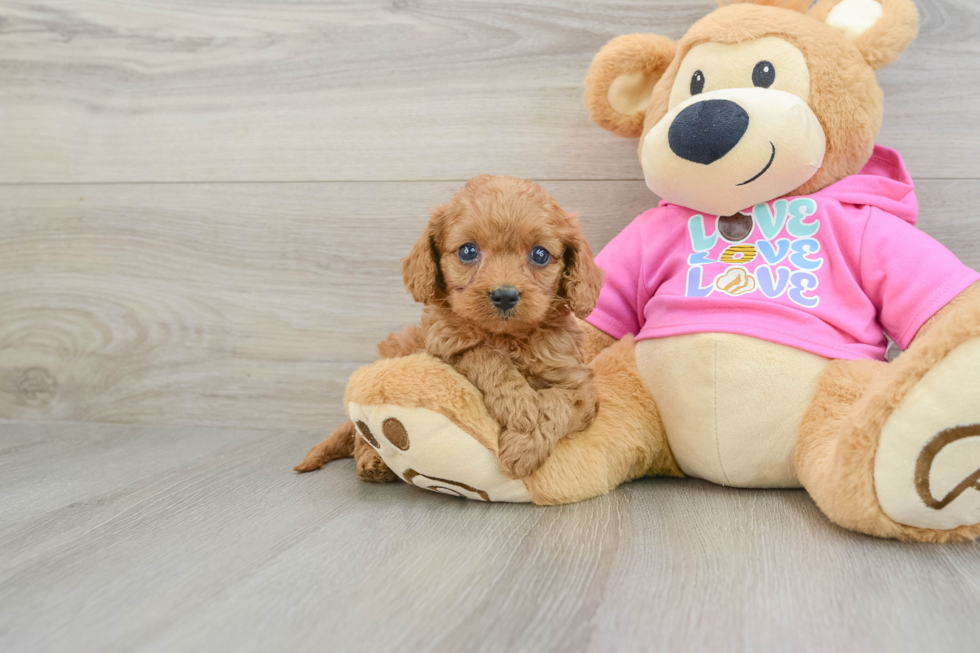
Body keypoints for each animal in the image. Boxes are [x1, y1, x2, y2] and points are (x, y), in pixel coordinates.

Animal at [296, 173, 604, 478]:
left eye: (540, 254)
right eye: (468, 251)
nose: (505, 295)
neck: (505, 337)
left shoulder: (579, 387)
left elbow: (557, 404)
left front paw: (525, 444)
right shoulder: (445, 351)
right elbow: (486, 357)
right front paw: (521, 411)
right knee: (362, 433)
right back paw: (372, 462)